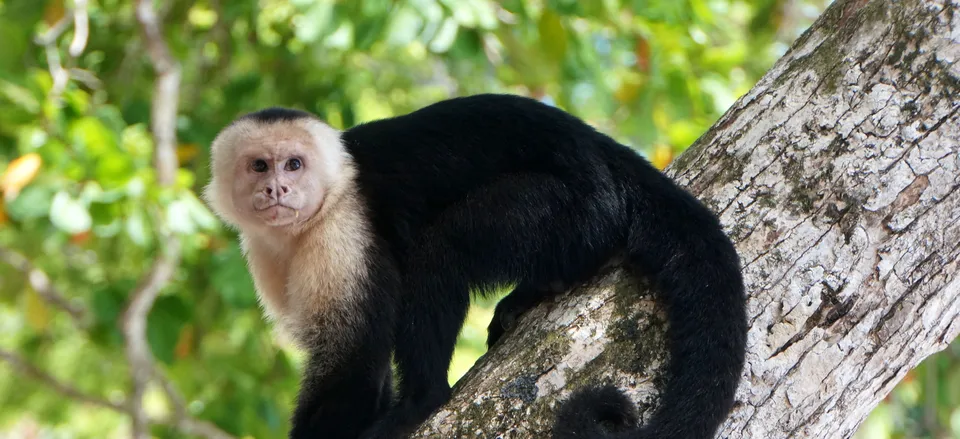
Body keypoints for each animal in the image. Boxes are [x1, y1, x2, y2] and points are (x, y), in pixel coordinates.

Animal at [204, 93, 752, 439]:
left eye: (294, 164)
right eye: (259, 165)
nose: (277, 188)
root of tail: (604, 153)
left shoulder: (342, 233)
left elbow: (356, 357)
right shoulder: (265, 253)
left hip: (577, 206)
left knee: (442, 250)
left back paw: (420, 402)